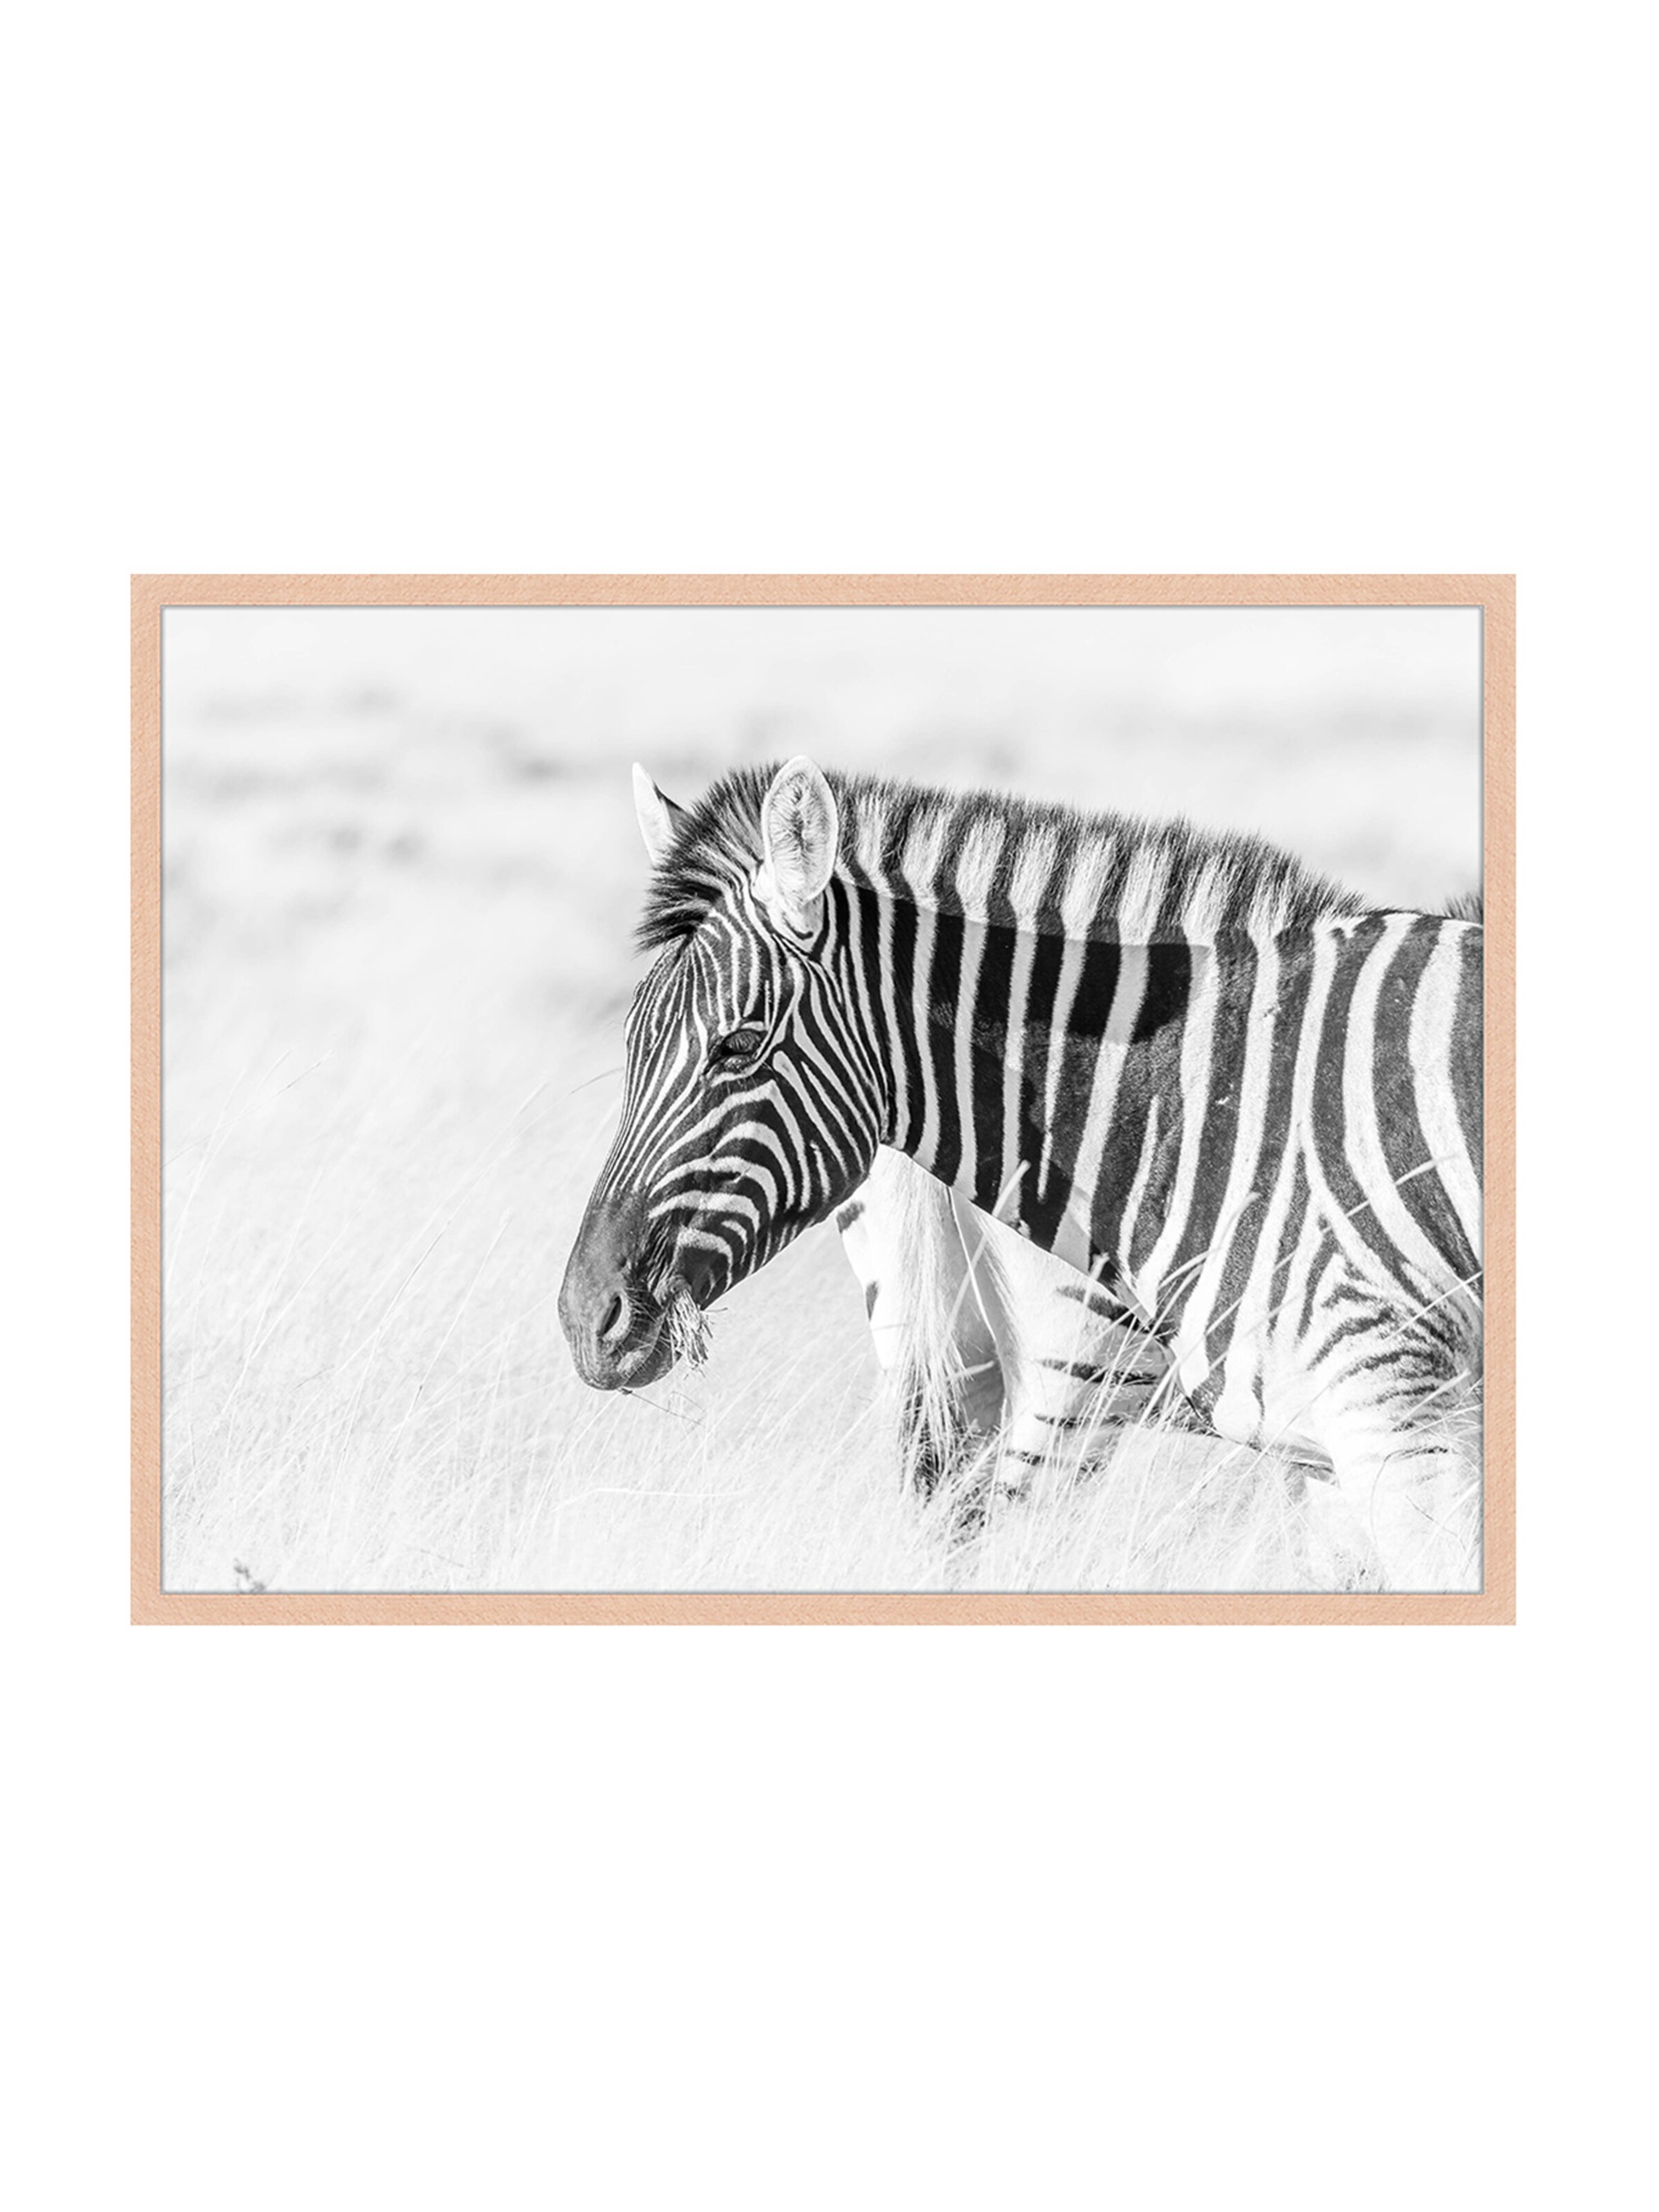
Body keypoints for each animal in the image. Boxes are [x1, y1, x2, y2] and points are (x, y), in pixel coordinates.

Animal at [559, 757, 1482, 1589]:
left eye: (739, 1044)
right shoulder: (1369, 1438)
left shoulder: (1388, 1435)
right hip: (1062, 1365)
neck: (1220, 1100)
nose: (583, 1320)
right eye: (631, 1044)